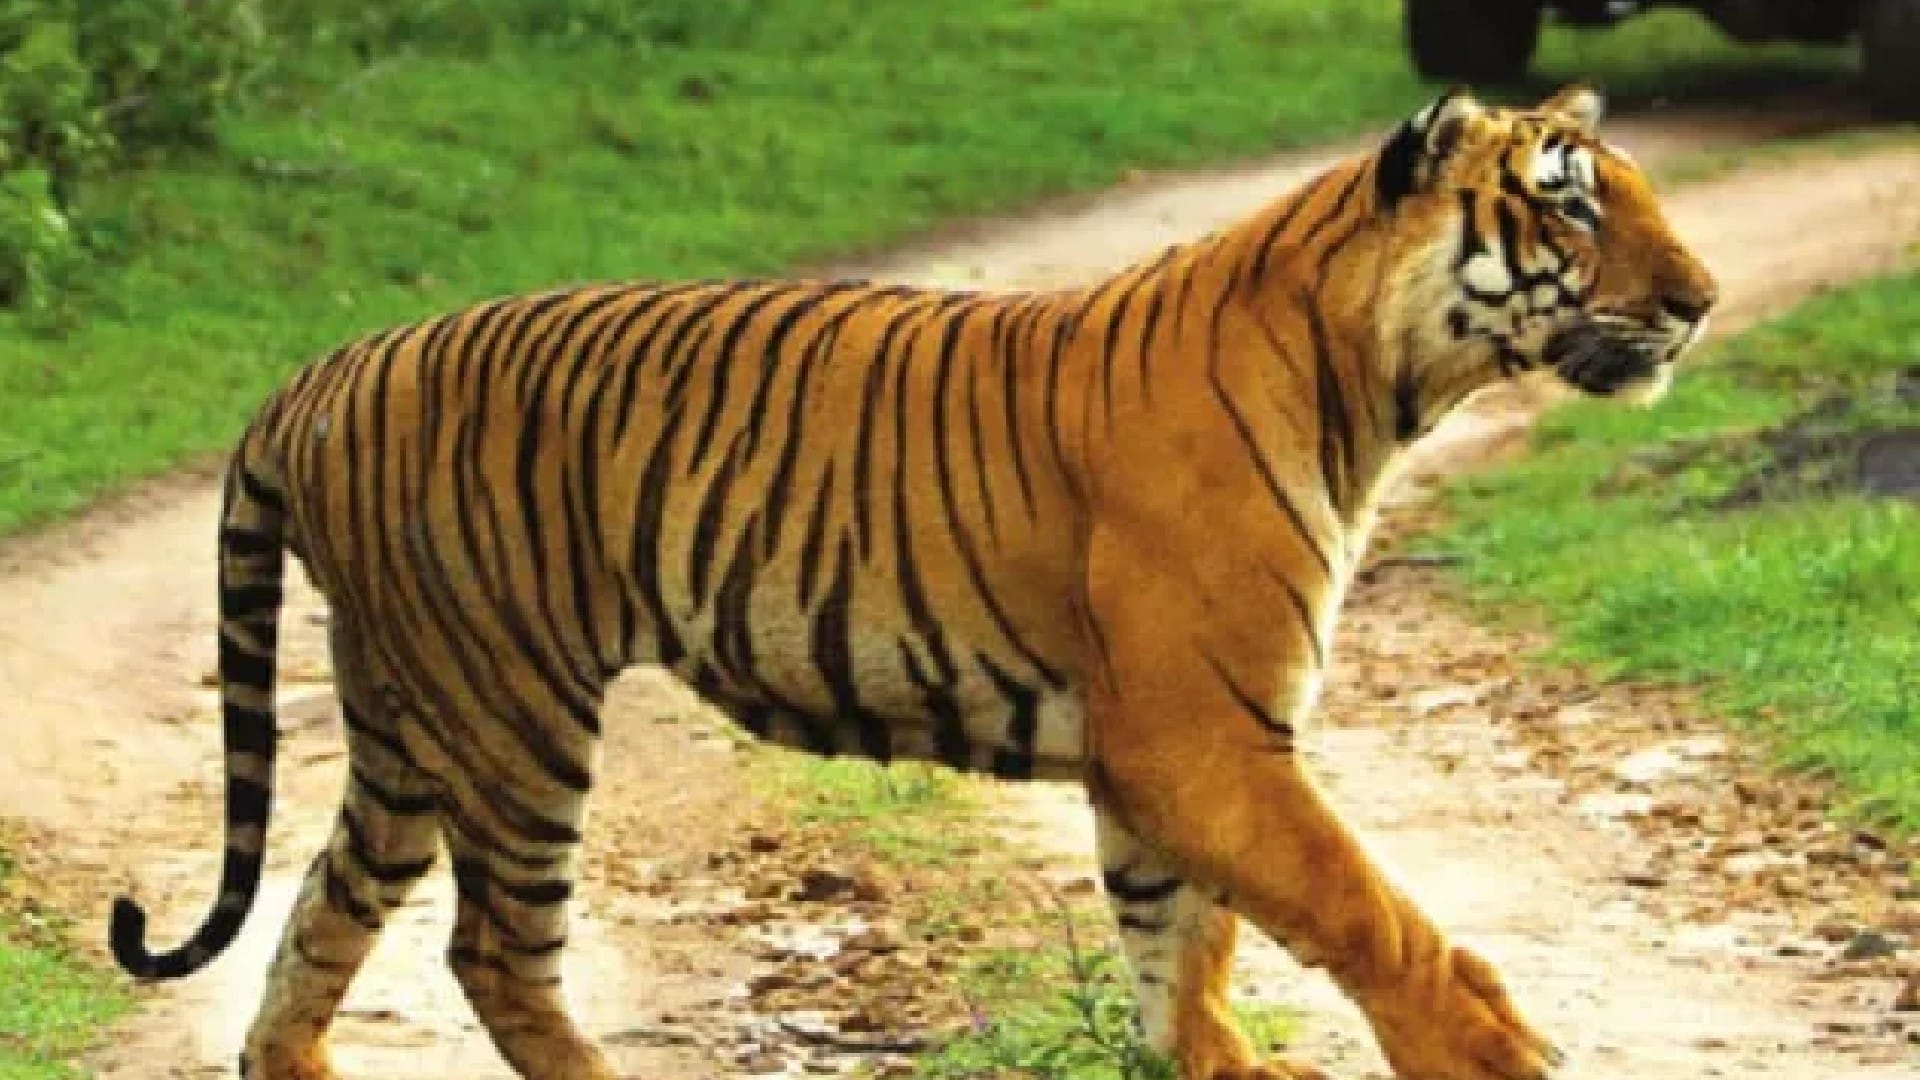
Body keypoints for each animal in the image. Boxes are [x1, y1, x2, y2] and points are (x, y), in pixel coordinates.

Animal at [110, 83, 1715, 1080]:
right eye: (1572, 210)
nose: (1700, 304)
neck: (1376, 383)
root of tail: (318, 374)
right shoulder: (1203, 733)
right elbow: (1363, 909)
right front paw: (1490, 1048)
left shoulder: (1167, 752)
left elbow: (1182, 949)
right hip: (511, 710)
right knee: (494, 951)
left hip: (405, 719)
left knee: (320, 916)